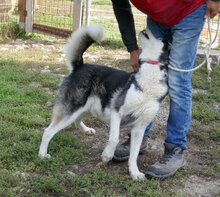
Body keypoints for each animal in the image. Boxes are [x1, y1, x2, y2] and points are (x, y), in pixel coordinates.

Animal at [38, 24, 168, 180]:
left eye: (159, 37)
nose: (146, 28)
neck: (148, 82)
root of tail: (80, 66)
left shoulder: (140, 127)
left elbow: (134, 154)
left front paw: (135, 173)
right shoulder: (116, 112)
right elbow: (114, 138)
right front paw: (107, 156)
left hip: (88, 108)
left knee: (76, 120)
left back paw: (85, 130)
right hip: (72, 110)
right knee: (48, 131)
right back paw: (42, 154)